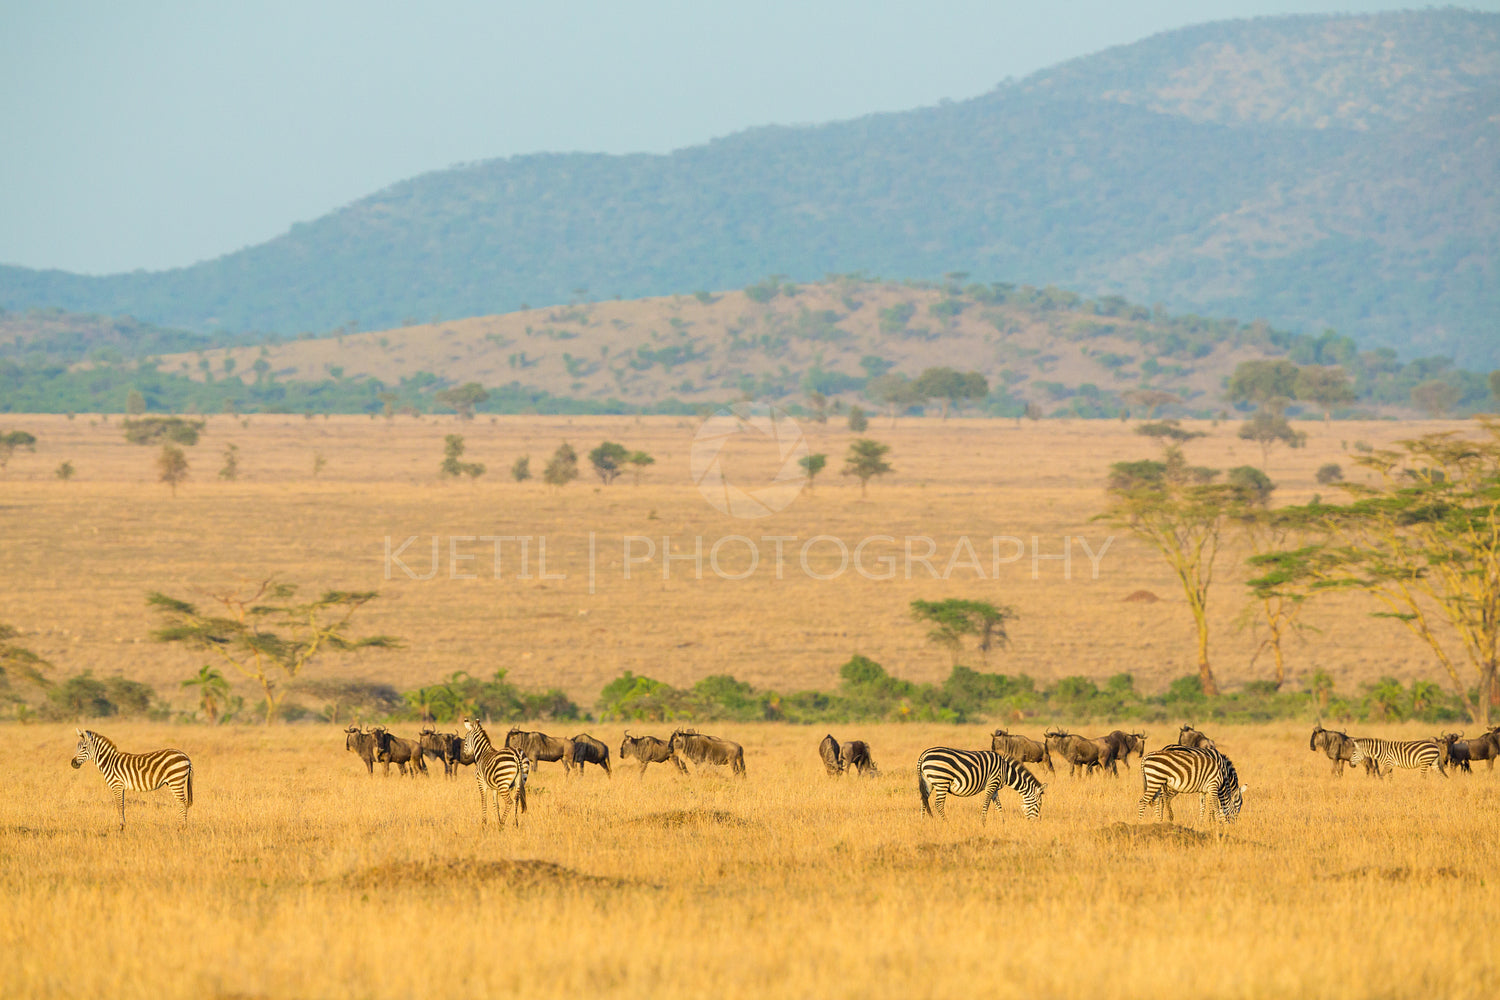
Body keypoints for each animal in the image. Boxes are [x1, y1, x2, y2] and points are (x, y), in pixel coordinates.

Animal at [912, 746, 1044, 827]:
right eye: (1038, 804)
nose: (1037, 823)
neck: (1006, 771)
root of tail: (923, 755)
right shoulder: (992, 783)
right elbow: (986, 804)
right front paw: (983, 823)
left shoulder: (995, 788)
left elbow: (999, 806)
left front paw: (1003, 823)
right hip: (942, 781)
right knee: (938, 804)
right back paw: (946, 823)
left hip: (928, 782)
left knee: (923, 800)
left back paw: (923, 822)